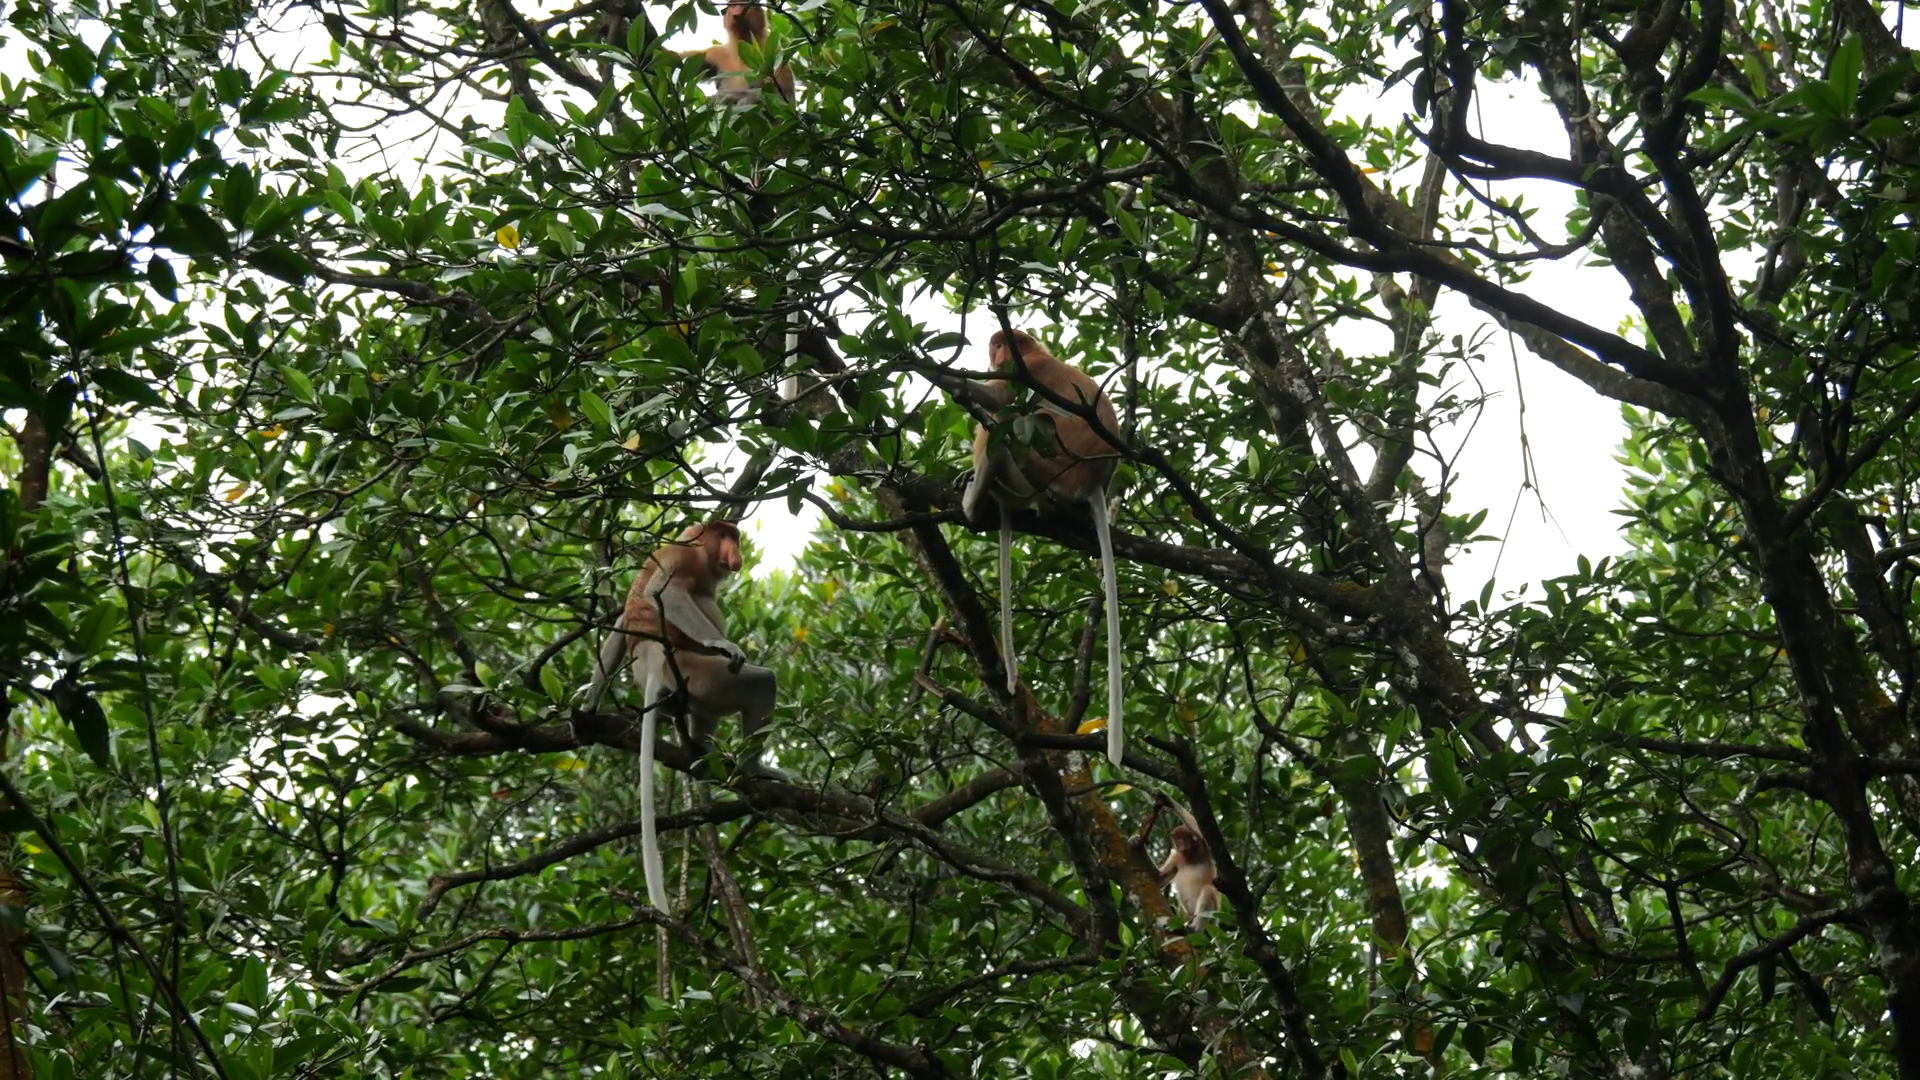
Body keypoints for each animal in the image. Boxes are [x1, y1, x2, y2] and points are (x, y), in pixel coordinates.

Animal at [583, 520, 778, 912]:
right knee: (761, 682)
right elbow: (666, 592)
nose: (737, 553)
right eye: (728, 536)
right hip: (699, 673)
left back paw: (701, 750)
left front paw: (585, 709)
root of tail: (651, 657)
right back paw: (753, 769)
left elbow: (620, 621)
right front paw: (725, 644)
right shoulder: (681, 556)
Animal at [953, 329, 1126, 765]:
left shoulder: (1025, 371)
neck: (1036, 353)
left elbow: (998, 399)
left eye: (1001, 344)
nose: (995, 352)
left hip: (1043, 468)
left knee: (1006, 426)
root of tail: (1094, 483)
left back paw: (976, 502)